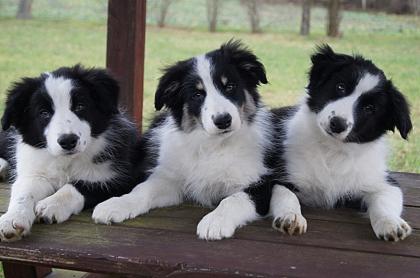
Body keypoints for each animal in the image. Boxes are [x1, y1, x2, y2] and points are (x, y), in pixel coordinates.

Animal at [0, 65, 139, 241]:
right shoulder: (34, 173)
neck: (67, 161)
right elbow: (23, 193)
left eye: (80, 106)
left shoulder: (121, 178)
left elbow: (77, 186)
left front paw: (51, 204)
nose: (68, 141)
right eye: (44, 113)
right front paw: (12, 220)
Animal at [92, 41, 282, 241]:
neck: (214, 146)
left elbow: (233, 200)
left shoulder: (259, 185)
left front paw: (215, 221)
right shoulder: (170, 179)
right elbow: (142, 189)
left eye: (230, 86)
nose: (223, 121)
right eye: (197, 95)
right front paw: (116, 205)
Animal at [270, 45, 414, 241]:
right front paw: (290, 217)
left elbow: (385, 202)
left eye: (370, 108)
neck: (332, 149)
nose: (337, 124)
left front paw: (391, 223)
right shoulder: (280, 176)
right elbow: (286, 195)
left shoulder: (383, 182)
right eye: (340, 87)